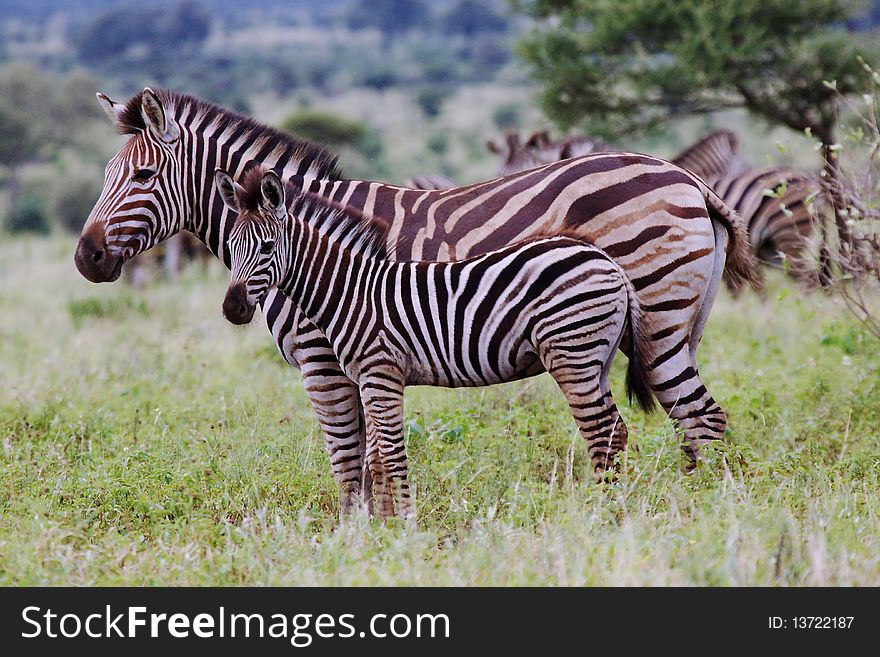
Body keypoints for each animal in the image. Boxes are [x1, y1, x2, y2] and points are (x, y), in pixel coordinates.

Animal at [217, 167, 656, 520]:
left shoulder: (381, 374)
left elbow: (392, 456)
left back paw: (605, 515)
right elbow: (376, 459)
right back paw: (615, 508)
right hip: (595, 359)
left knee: (602, 432)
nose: (232, 309)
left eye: (266, 248)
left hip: (572, 354)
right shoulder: (369, 380)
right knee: (616, 431)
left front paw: (407, 529)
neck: (351, 291)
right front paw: (386, 529)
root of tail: (608, 262)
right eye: (231, 245)